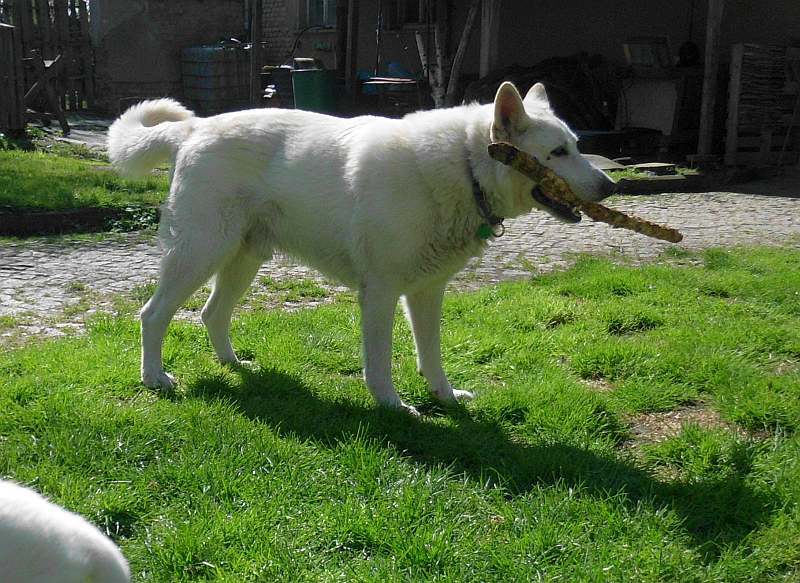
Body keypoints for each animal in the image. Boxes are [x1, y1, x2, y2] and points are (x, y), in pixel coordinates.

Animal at [109, 82, 616, 418]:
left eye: (577, 146)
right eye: (557, 153)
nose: (611, 187)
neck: (465, 166)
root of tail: (193, 130)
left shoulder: (427, 294)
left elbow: (431, 355)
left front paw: (446, 398)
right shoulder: (381, 294)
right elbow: (380, 363)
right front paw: (393, 407)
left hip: (242, 259)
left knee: (212, 313)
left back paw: (235, 365)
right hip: (199, 253)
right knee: (153, 315)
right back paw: (155, 378)